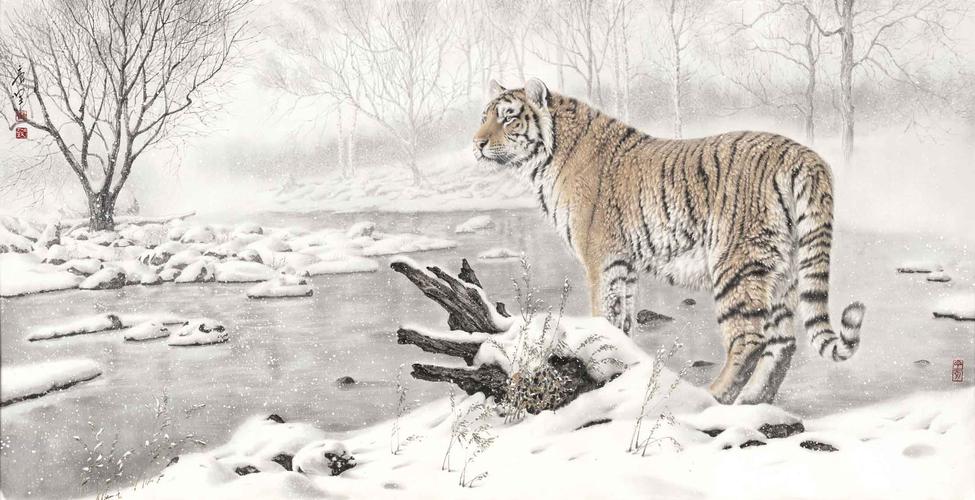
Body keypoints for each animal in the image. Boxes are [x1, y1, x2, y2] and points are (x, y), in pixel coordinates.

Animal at [472, 78, 865, 405]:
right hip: (783, 270)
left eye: (508, 118)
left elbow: (604, 313)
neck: (546, 158)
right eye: (484, 116)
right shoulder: (624, 264)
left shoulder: (600, 260)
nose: (476, 143)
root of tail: (803, 155)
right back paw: (752, 403)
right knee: (783, 344)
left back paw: (714, 395)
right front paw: (622, 362)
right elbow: (623, 320)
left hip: (737, 264)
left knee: (750, 340)